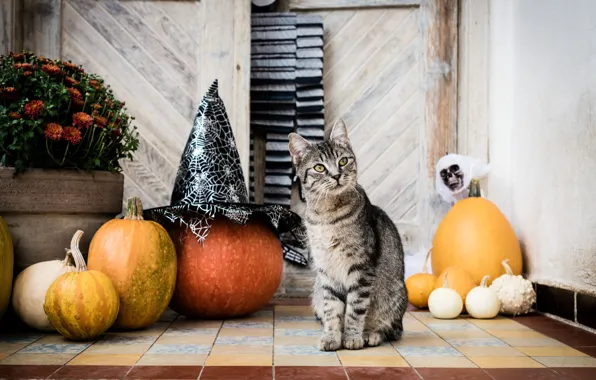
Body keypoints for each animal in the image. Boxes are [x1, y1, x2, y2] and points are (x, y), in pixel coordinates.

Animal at [288, 118, 408, 350]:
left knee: (393, 329)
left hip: (395, 293)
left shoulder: (361, 268)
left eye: (343, 161)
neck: (327, 215)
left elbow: (355, 307)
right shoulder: (326, 271)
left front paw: (352, 337)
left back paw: (371, 334)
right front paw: (332, 337)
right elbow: (332, 310)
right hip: (316, 289)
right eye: (319, 167)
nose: (336, 175)